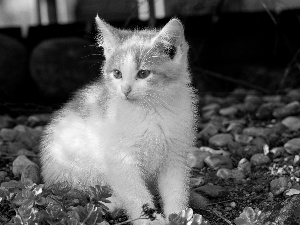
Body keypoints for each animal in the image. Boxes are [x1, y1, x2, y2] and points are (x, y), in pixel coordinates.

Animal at [40, 16, 199, 225]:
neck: (151, 110)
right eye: (117, 73)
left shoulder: (175, 154)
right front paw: (149, 220)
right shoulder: (120, 158)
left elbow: (176, 189)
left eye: (143, 73)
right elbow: (134, 193)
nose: (125, 89)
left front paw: (178, 216)